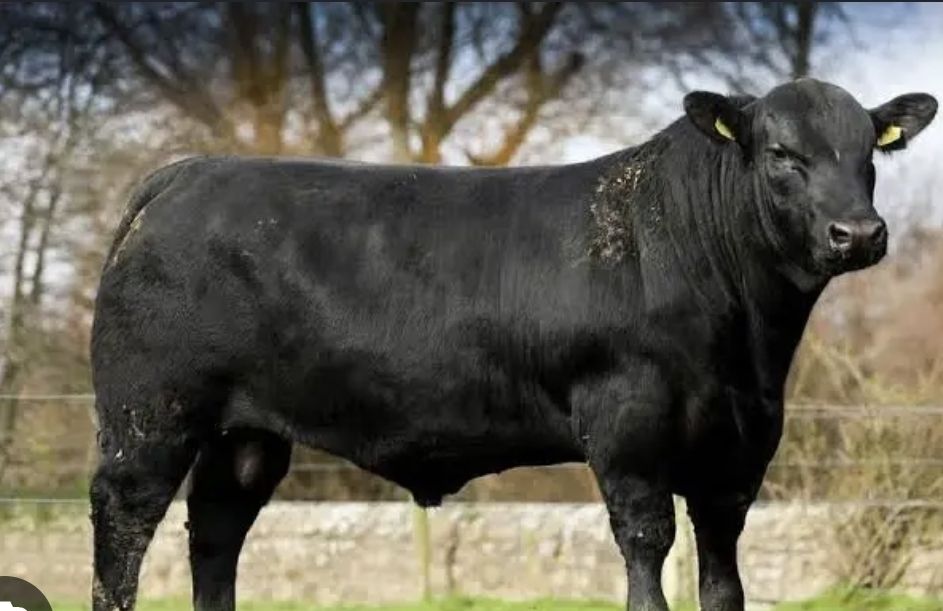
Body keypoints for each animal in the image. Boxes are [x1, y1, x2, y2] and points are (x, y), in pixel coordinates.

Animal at [89, 78, 937, 611]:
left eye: (868, 152)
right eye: (780, 154)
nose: (857, 233)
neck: (749, 344)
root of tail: (185, 172)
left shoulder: (739, 447)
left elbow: (723, 576)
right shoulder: (627, 427)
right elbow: (646, 544)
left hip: (246, 433)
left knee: (215, 529)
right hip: (149, 413)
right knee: (123, 524)